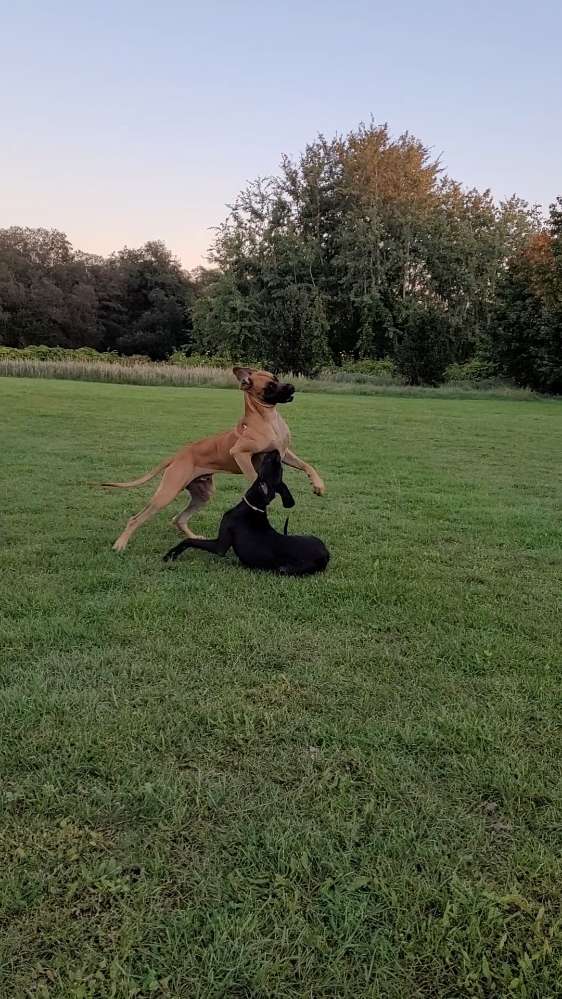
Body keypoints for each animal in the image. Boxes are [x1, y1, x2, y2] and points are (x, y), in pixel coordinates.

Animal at [162, 450, 328, 576]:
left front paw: (170, 554)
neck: (254, 505)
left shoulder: (220, 545)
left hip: (284, 569)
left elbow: (189, 541)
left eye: (270, 462)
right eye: (280, 468)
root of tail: (326, 555)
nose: (276, 451)